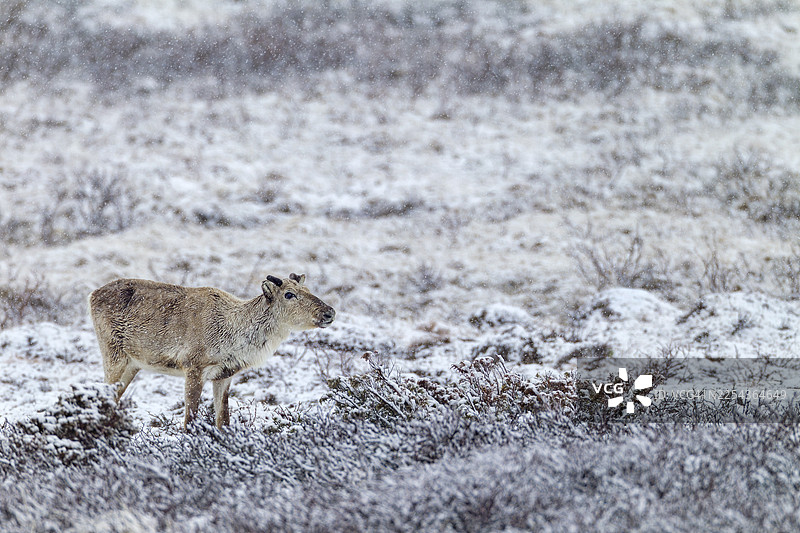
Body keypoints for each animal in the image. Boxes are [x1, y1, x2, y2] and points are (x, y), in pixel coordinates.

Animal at [88, 273, 335, 429]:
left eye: (308, 289)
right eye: (289, 294)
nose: (329, 312)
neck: (232, 335)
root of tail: (91, 295)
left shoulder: (224, 375)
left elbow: (223, 421)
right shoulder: (193, 367)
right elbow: (189, 422)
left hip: (133, 365)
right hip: (112, 354)